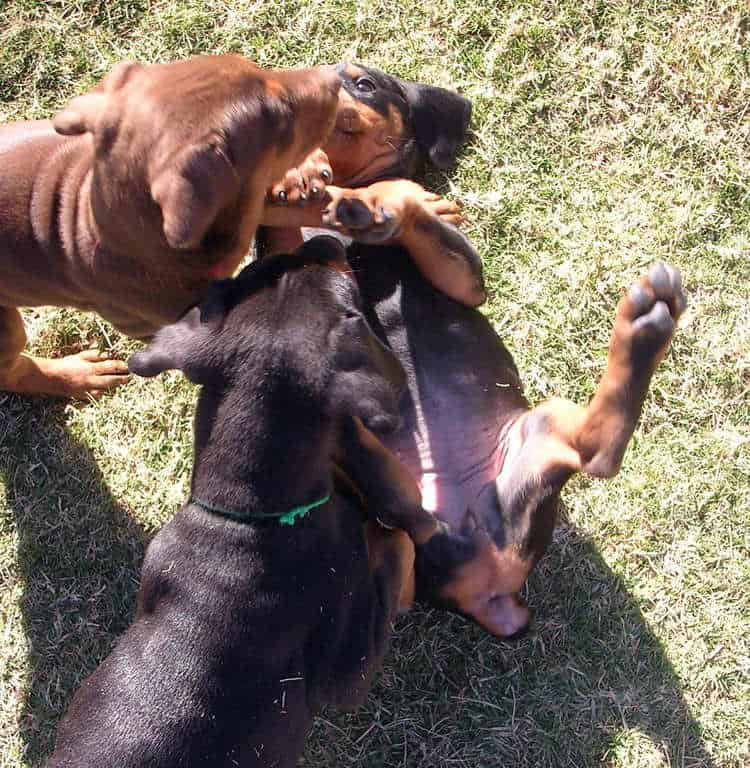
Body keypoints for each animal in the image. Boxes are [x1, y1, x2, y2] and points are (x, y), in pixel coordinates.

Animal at [47, 237, 444, 764]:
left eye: (255, 272)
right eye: (352, 304)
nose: (321, 240)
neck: (248, 516)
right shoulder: (345, 674)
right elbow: (396, 541)